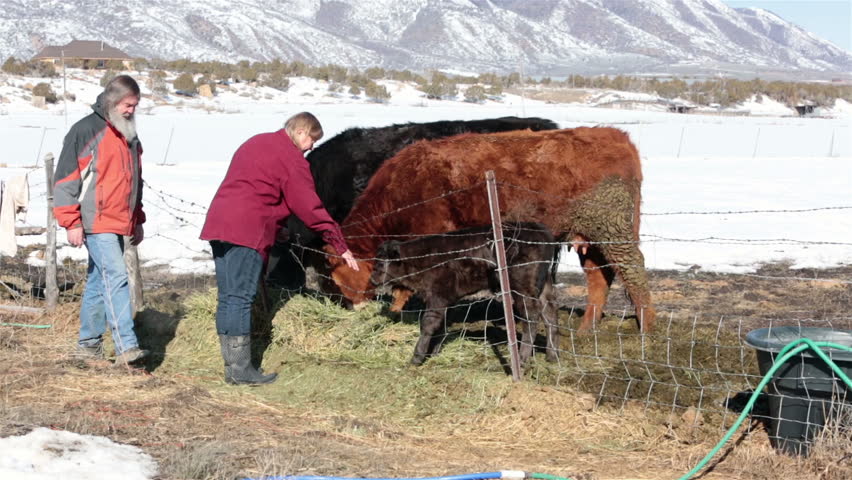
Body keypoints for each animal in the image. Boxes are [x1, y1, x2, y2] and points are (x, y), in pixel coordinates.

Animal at [324, 127, 656, 333]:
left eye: (336, 272)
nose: (351, 306)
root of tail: (615, 135)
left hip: (614, 229)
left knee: (634, 272)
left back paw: (647, 331)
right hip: (589, 236)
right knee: (599, 277)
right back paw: (587, 330)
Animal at [370, 222, 560, 367]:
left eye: (381, 262)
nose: (372, 279)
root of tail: (540, 230)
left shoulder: (437, 297)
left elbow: (428, 324)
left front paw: (417, 357)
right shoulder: (448, 300)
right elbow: (442, 325)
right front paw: (435, 353)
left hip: (523, 290)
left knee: (531, 318)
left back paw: (522, 359)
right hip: (543, 287)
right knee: (550, 315)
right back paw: (552, 356)